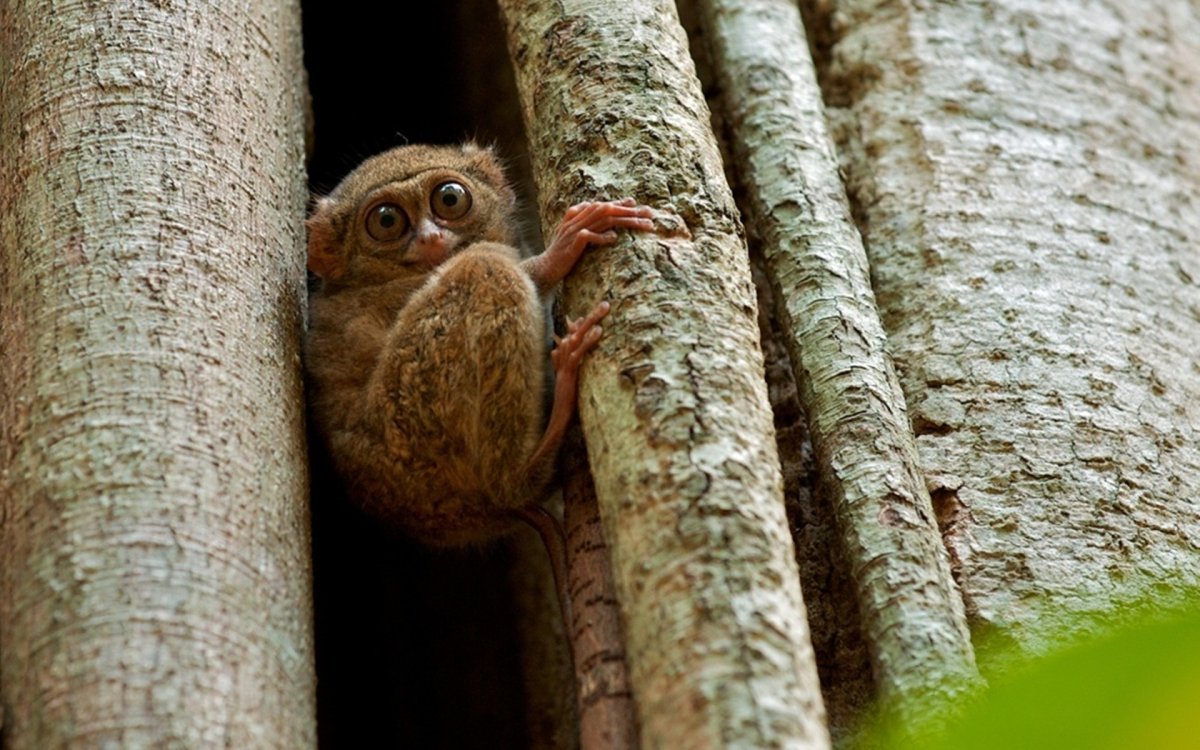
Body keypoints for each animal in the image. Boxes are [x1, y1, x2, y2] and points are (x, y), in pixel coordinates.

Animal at [304, 143, 654, 622]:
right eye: (387, 221)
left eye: (449, 199)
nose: (431, 239)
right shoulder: (383, 298)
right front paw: (559, 253)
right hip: (411, 424)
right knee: (483, 264)